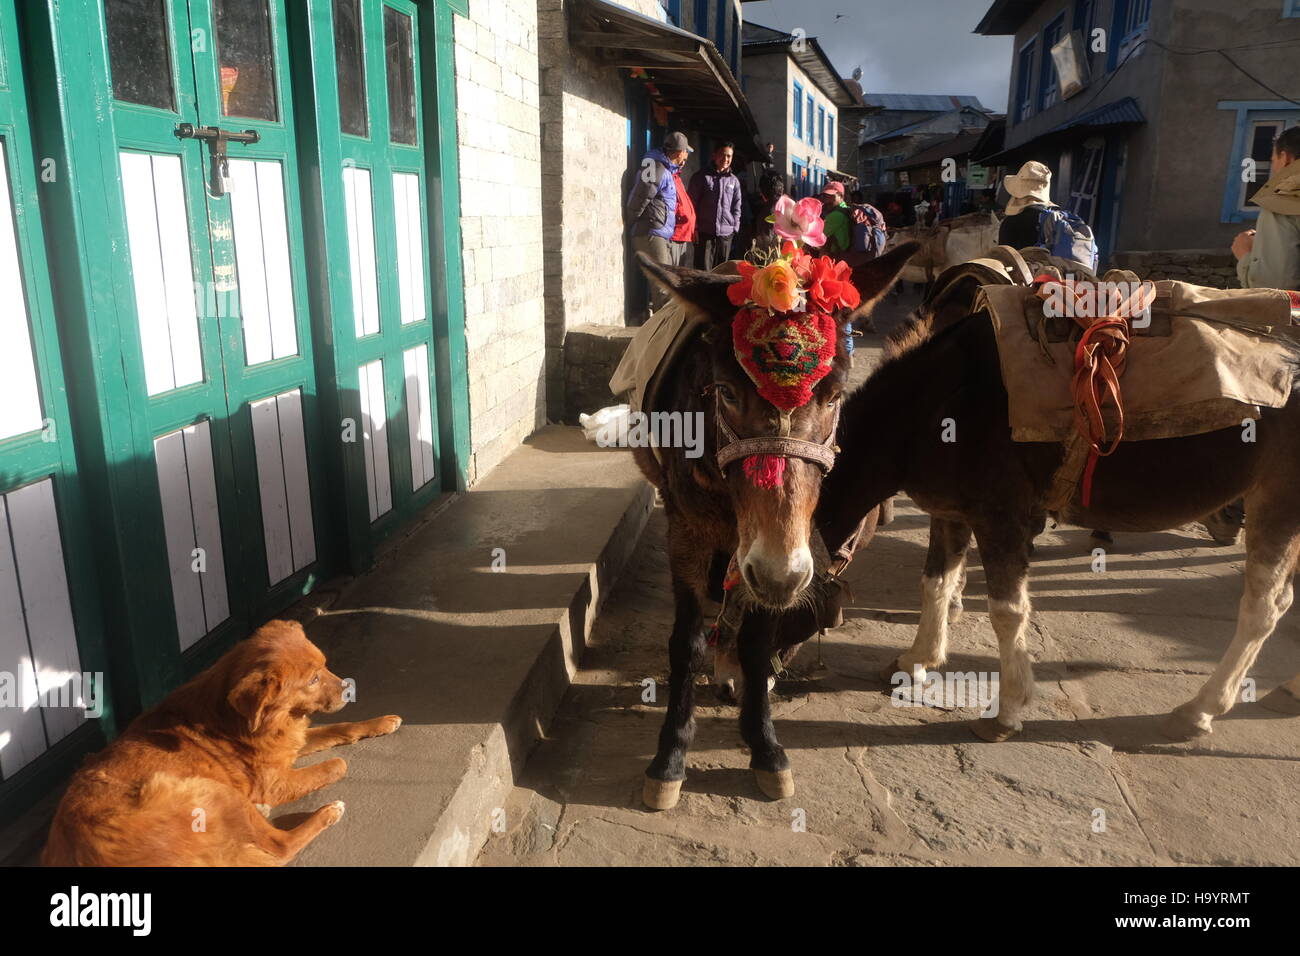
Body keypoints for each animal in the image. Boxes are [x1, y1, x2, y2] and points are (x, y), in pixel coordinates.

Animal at [631, 242, 920, 810]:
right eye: (725, 391)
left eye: (834, 396)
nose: (781, 575)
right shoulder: (686, 533)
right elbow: (686, 643)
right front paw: (670, 757)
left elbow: (758, 642)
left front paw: (764, 746)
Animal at [811, 291, 1300, 743]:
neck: (940, 403)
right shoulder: (951, 513)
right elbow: (935, 584)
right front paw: (917, 660)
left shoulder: (1000, 517)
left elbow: (1007, 611)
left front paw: (1007, 711)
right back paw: (1287, 691)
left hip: (1278, 500)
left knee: (1263, 609)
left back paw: (1199, 709)